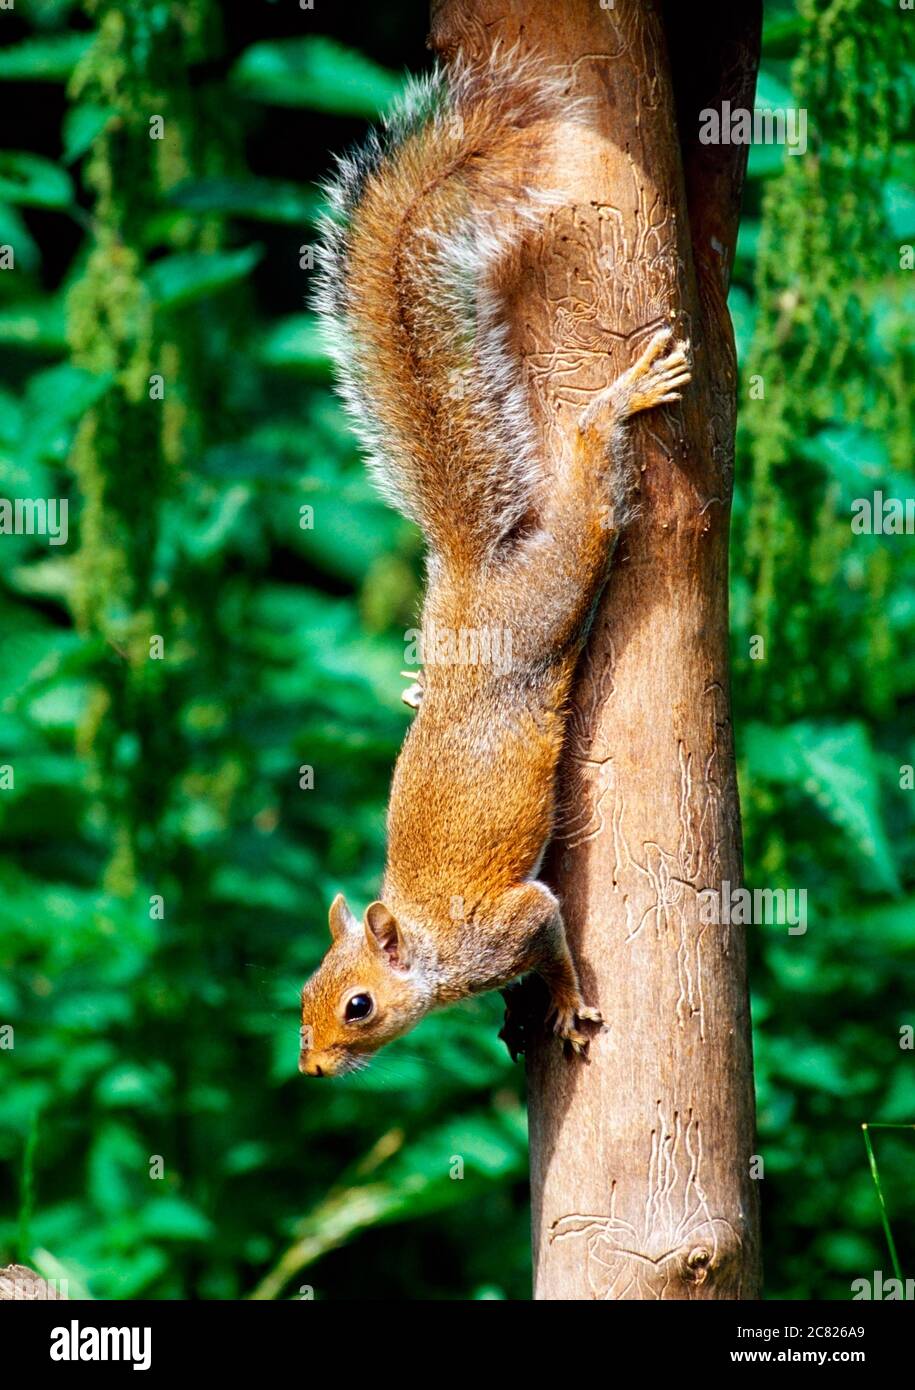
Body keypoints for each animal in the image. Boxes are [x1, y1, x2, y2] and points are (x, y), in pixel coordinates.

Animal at [299, 47, 691, 1077]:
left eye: (357, 1005)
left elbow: (551, 935)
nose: (312, 1066)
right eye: (304, 996)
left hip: (554, 587)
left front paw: (565, 1002)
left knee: (590, 491)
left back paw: (616, 406)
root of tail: (474, 569)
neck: (433, 943)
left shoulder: (515, 918)